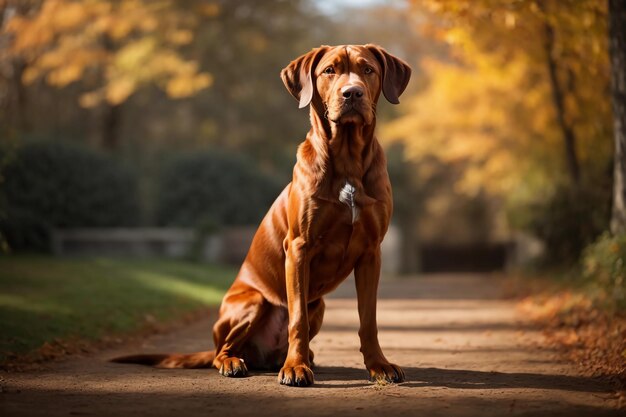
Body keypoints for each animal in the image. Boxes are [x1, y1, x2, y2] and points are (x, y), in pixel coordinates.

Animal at [112, 44, 410, 386]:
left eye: (368, 70)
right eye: (329, 71)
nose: (352, 93)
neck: (347, 160)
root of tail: (262, 355)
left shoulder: (371, 252)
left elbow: (368, 320)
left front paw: (379, 365)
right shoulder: (299, 248)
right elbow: (297, 319)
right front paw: (295, 367)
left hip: (319, 304)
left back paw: (301, 358)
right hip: (251, 303)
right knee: (222, 351)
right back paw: (239, 362)